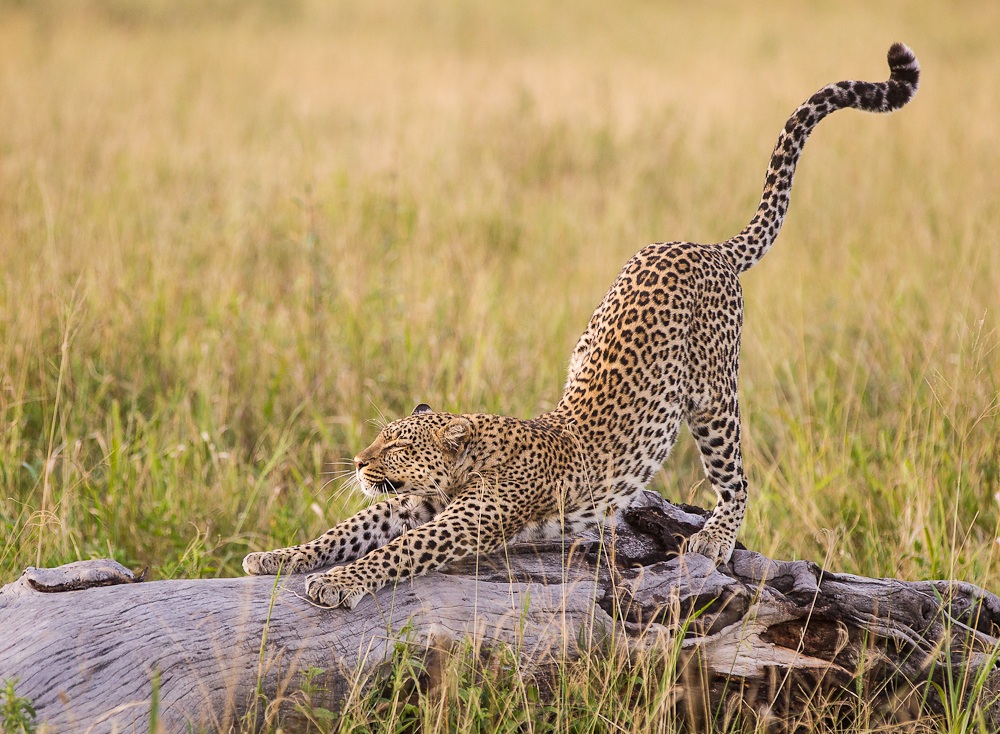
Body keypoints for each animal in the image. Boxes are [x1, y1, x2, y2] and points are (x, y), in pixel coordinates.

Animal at [244, 44, 920, 609]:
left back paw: (716, 538)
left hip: (713, 401)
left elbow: (397, 551)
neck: (471, 459)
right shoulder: (415, 503)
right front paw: (278, 557)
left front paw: (338, 583)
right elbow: (347, 527)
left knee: (738, 479)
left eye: (397, 448)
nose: (359, 462)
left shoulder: (465, 518)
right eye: (379, 440)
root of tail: (707, 247)